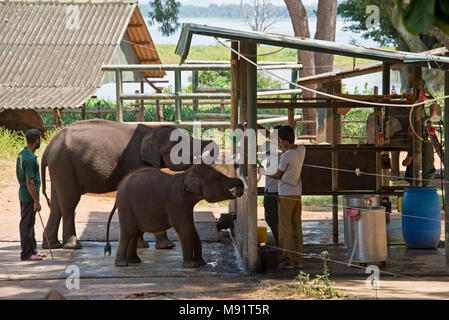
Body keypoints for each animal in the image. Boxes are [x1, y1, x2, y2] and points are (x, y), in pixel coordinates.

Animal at [40, 119, 217, 249]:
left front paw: (147, 246)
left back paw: (53, 245)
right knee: (69, 202)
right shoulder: (135, 162)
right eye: (181, 147)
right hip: (64, 164)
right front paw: (164, 247)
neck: (150, 132)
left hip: (59, 166)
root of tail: (49, 146)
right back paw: (73, 246)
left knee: (56, 204)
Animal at [103, 165, 243, 268]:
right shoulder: (178, 201)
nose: (240, 191)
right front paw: (191, 266)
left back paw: (134, 261)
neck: (186, 174)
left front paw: (201, 263)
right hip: (126, 207)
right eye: (217, 178)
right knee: (128, 231)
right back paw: (122, 264)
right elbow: (184, 228)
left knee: (136, 232)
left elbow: (191, 227)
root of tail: (119, 191)